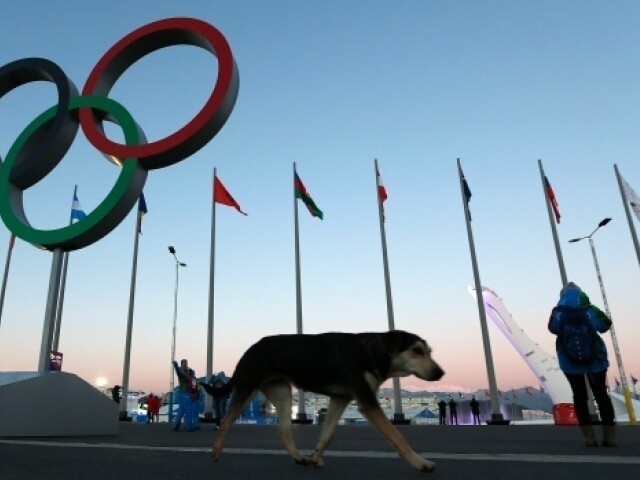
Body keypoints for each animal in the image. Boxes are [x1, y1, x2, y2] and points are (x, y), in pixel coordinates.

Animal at [201, 330, 444, 472]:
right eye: (416, 350)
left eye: (429, 351)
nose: (440, 373)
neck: (373, 351)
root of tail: (250, 348)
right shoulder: (366, 401)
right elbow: (397, 434)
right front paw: (420, 462)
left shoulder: (341, 398)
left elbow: (328, 434)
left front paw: (315, 457)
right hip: (247, 388)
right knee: (225, 422)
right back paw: (215, 452)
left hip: (282, 393)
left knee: (283, 431)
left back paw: (300, 458)